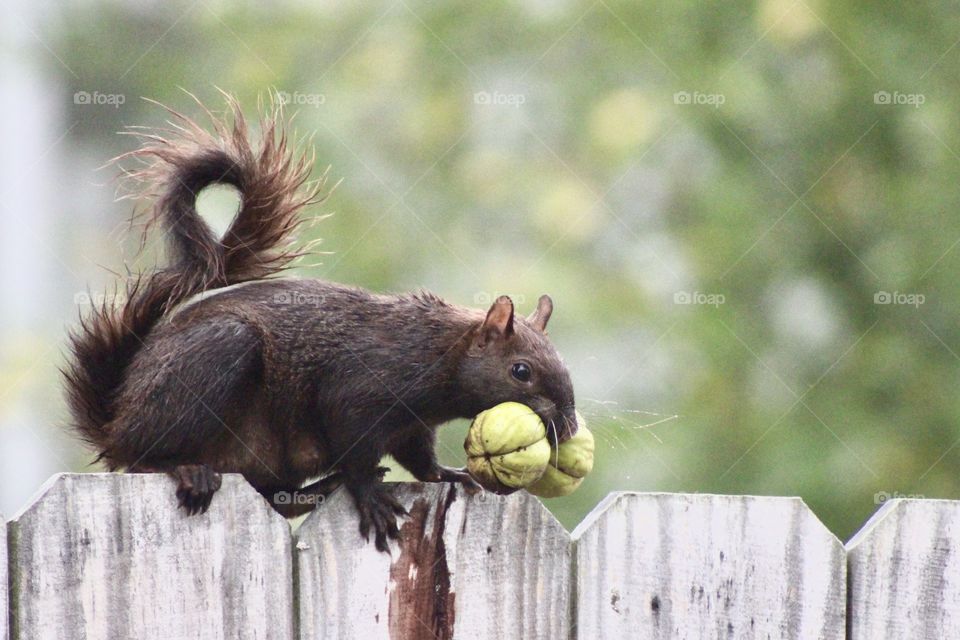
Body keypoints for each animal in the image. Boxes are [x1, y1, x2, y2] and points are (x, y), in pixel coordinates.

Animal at [63, 97, 578, 551]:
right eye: (521, 371)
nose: (569, 428)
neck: (437, 349)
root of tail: (116, 419)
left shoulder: (413, 425)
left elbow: (418, 457)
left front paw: (446, 474)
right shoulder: (360, 389)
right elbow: (355, 444)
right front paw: (371, 497)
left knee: (276, 499)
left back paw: (313, 490)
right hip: (214, 360)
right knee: (143, 457)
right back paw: (185, 468)